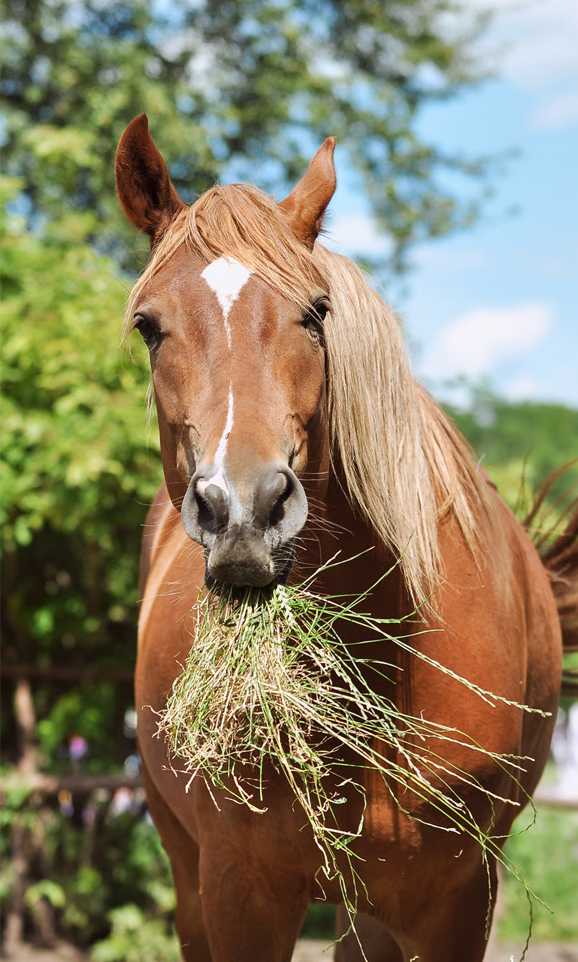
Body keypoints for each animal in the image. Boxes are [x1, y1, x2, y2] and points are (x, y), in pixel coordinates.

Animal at [114, 113, 577, 962]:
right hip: (191, 876)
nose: (244, 512)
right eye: (150, 327)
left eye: (315, 313)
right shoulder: (241, 894)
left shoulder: (458, 900)